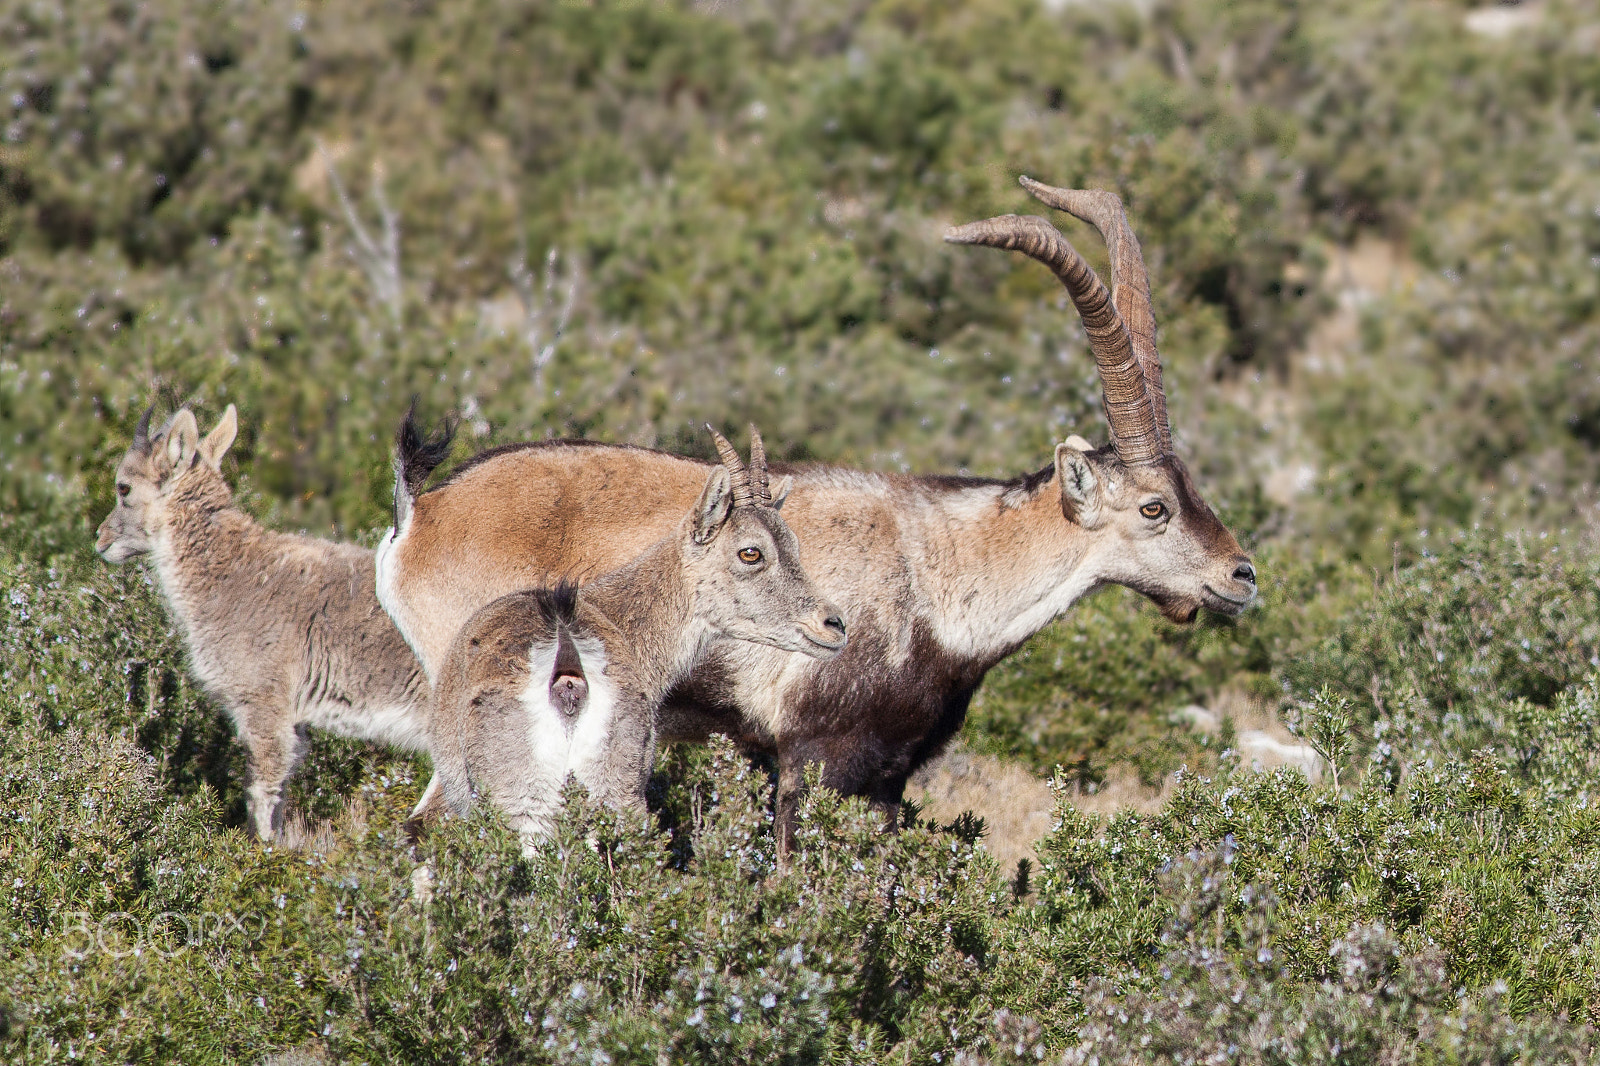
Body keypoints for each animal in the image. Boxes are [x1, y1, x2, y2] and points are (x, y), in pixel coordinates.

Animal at [96, 403, 428, 832]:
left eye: (124, 487)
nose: (100, 539)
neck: (231, 575)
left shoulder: (263, 703)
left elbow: (263, 794)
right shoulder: (293, 717)